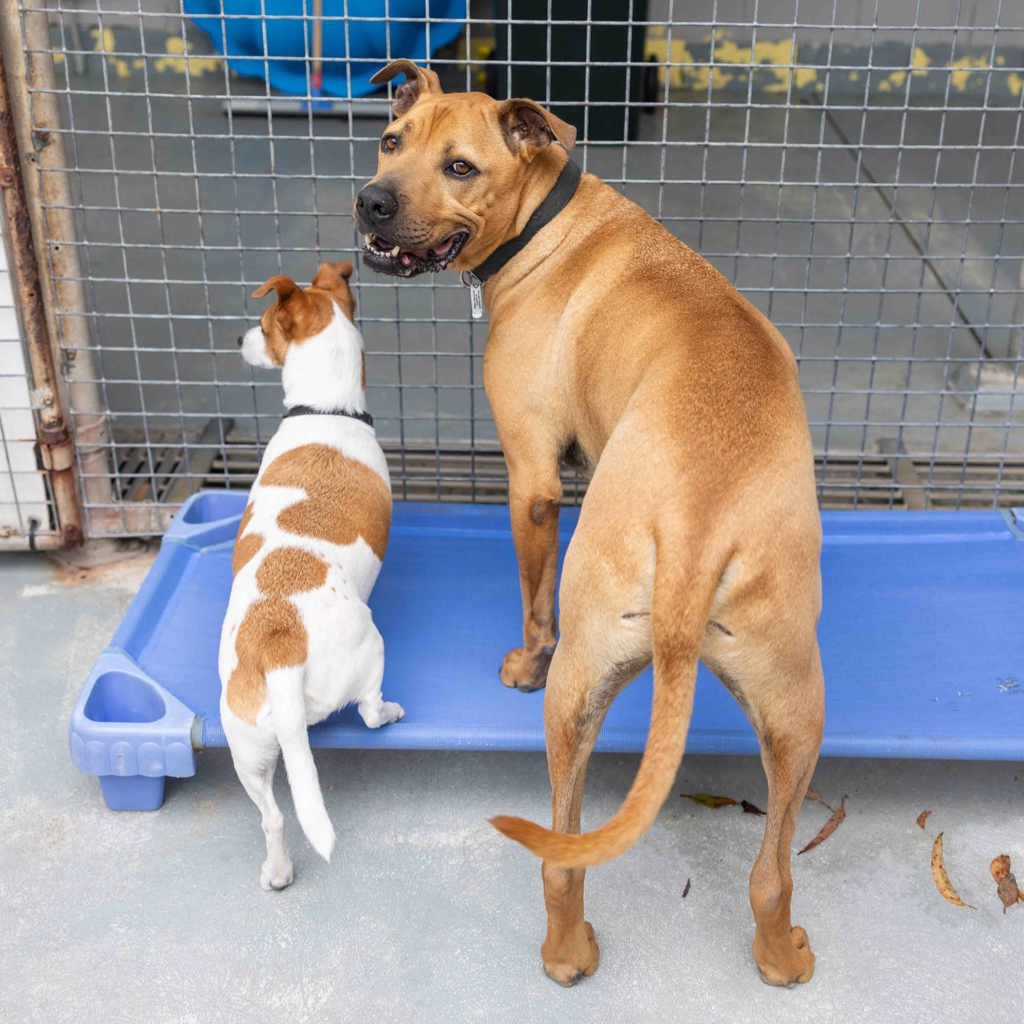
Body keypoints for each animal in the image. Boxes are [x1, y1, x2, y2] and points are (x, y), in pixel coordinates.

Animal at [219, 261, 403, 891]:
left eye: (262, 325)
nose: (238, 339)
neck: (327, 410)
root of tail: (281, 643)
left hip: (245, 748)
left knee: (273, 817)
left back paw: (277, 872)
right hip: (371, 651)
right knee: (369, 713)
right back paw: (391, 711)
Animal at [355, 61, 824, 989]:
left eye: (459, 167)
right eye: (392, 142)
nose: (372, 201)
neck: (548, 219)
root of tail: (696, 534)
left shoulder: (533, 481)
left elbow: (533, 596)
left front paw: (520, 659)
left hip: (574, 689)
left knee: (561, 856)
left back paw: (566, 955)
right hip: (795, 706)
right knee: (770, 871)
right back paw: (781, 958)